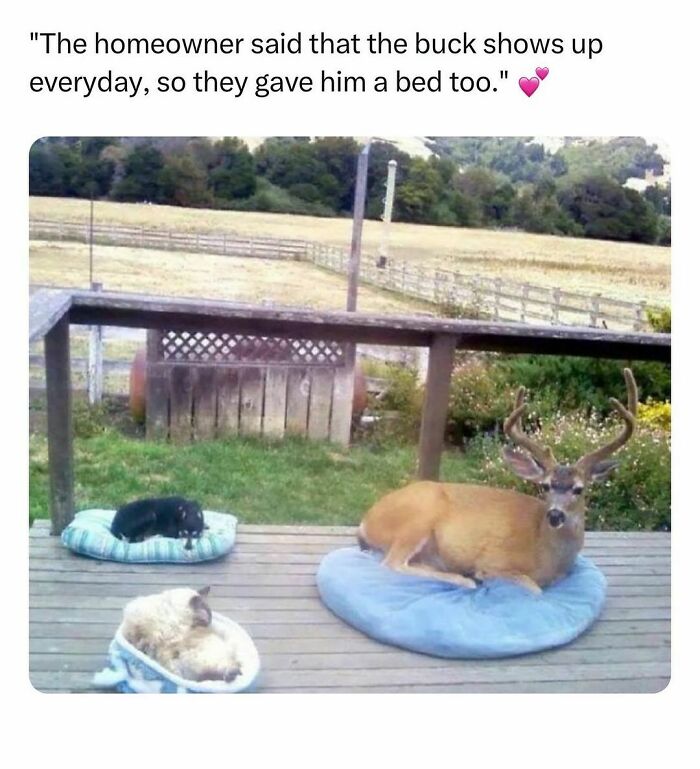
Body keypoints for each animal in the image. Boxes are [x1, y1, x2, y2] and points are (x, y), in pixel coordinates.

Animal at [358, 368, 636, 592]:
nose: (555, 515)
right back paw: (464, 579)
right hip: (418, 518)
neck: (545, 552)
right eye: (545, 486)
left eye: (579, 489)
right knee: (392, 563)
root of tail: (366, 520)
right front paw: (478, 577)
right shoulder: (495, 562)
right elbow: (534, 589)